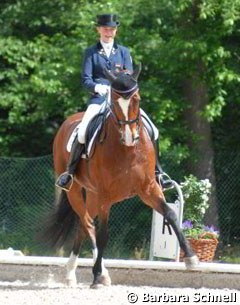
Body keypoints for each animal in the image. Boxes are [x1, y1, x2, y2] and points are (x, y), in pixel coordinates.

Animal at [46, 64, 198, 288]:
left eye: (137, 99)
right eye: (115, 102)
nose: (129, 137)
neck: (127, 151)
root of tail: (69, 121)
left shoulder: (148, 189)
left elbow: (170, 214)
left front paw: (191, 258)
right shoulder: (105, 196)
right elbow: (103, 235)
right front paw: (96, 277)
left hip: (93, 195)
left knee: (84, 225)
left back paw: (78, 272)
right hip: (76, 190)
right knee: (88, 223)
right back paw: (87, 274)